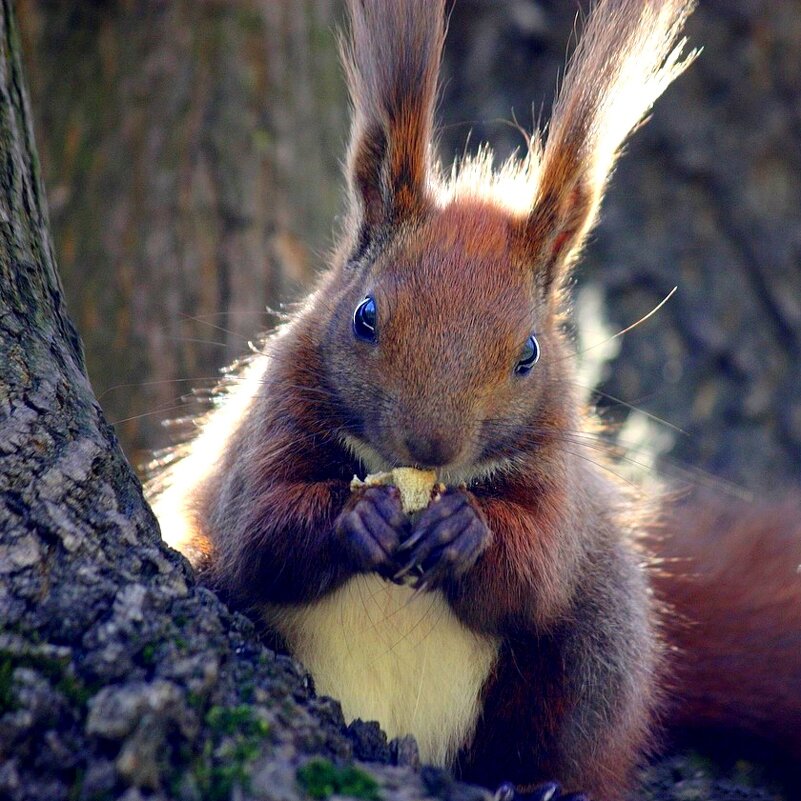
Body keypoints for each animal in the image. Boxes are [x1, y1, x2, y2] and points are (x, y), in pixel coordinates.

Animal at [148, 1, 800, 800]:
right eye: (365, 315)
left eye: (529, 353)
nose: (429, 445)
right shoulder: (269, 423)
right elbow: (258, 527)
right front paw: (358, 516)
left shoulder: (558, 475)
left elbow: (534, 567)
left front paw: (465, 530)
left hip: (593, 650)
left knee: (574, 728)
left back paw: (538, 781)